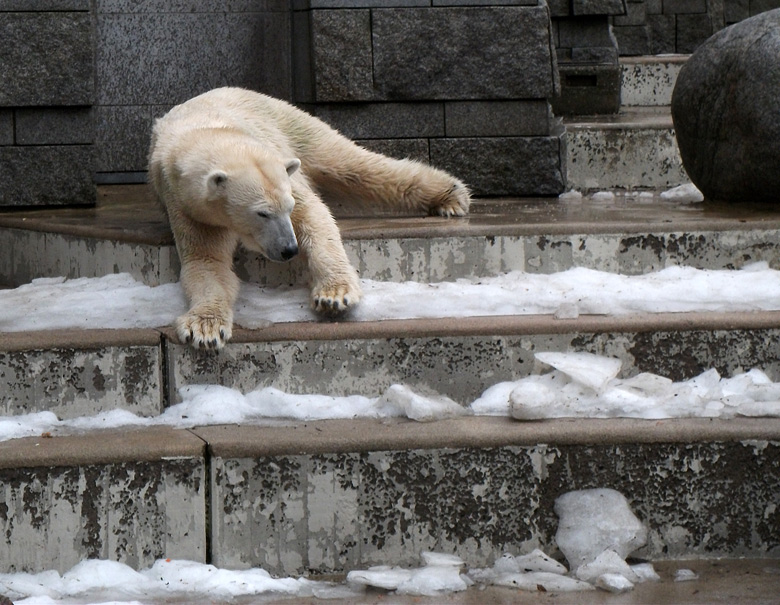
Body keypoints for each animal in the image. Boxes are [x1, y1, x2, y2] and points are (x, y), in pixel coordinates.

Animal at [150, 86, 472, 346]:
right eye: (262, 213)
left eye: (287, 208)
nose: (289, 249)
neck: (207, 130)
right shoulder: (189, 208)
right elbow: (207, 263)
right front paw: (205, 329)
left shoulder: (281, 166)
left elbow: (315, 217)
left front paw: (334, 295)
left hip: (291, 124)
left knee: (354, 165)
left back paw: (451, 195)